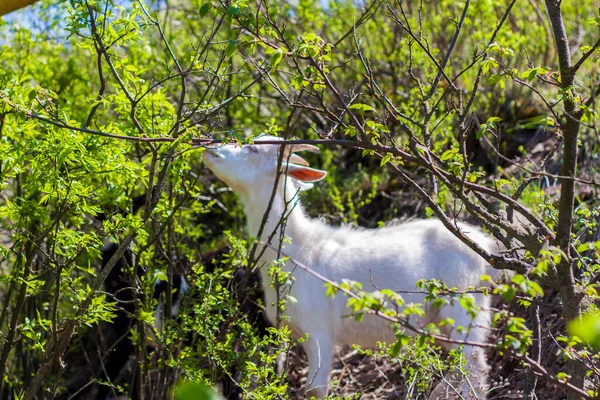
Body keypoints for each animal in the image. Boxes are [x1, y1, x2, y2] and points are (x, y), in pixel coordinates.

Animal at [204, 136, 500, 398]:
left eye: (253, 148)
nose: (210, 147)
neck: (299, 250)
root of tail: (487, 250)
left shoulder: (318, 333)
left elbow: (314, 389)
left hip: (464, 305)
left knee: (474, 365)